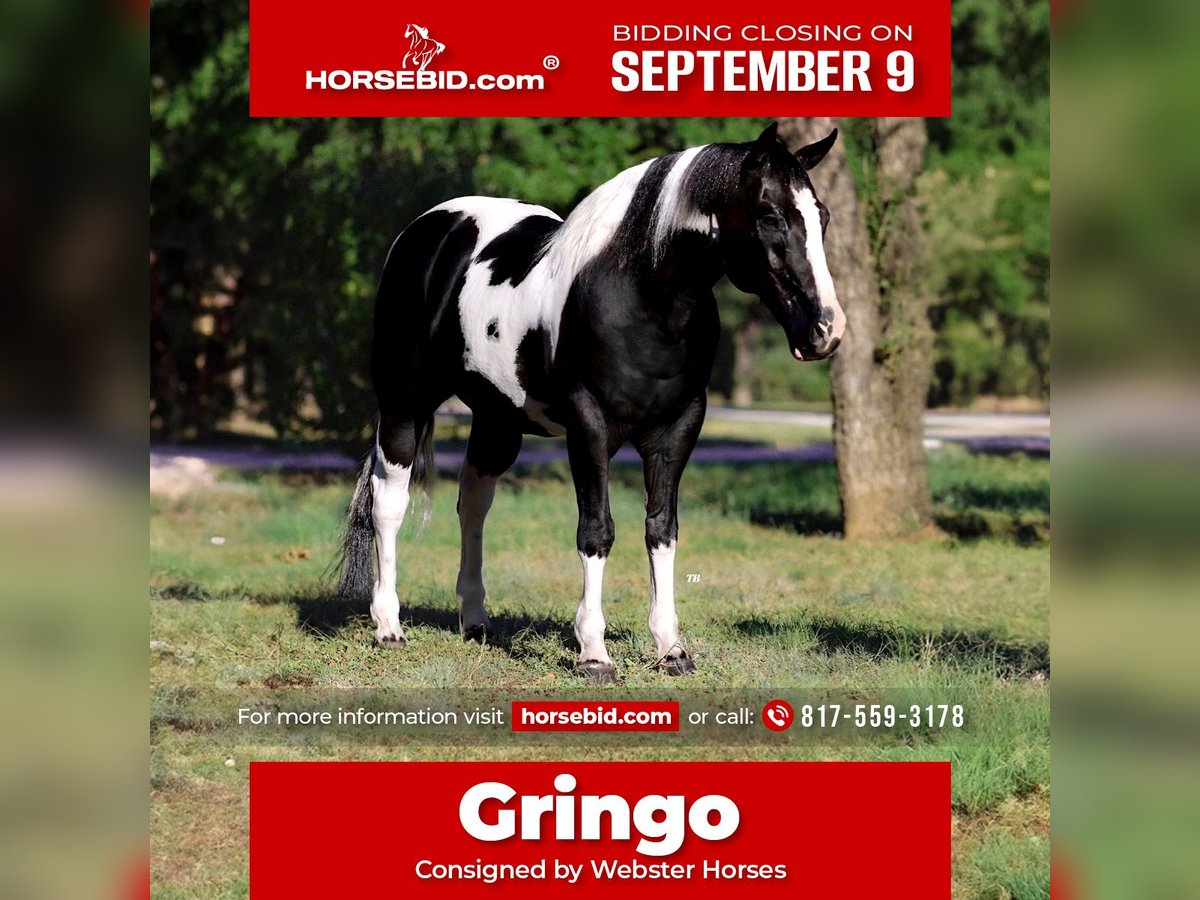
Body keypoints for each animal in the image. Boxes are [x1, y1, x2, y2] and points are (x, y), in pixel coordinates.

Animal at [338, 123, 844, 681]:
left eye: (821, 216)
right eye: (770, 215)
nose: (825, 329)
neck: (640, 294)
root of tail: (426, 229)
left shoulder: (678, 429)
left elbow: (661, 531)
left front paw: (671, 648)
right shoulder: (589, 427)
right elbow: (596, 531)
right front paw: (593, 653)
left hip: (497, 421)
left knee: (473, 504)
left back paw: (475, 622)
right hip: (405, 403)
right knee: (389, 503)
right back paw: (389, 627)